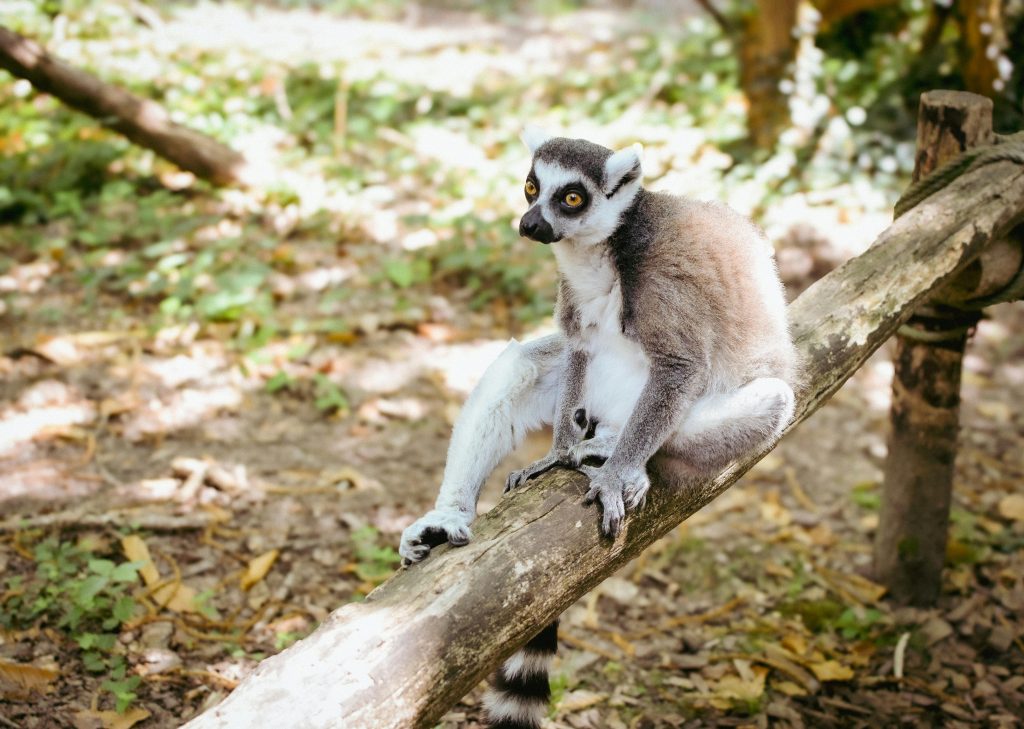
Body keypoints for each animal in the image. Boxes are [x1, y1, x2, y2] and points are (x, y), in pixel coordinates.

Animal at [398, 128, 798, 728]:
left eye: (571, 198)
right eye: (532, 186)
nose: (529, 223)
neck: (598, 254)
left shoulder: (664, 283)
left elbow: (680, 367)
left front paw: (612, 477)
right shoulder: (575, 305)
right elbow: (577, 346)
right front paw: (558, 453)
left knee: (766, 400)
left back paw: (617, 453)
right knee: (524, 364)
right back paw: (448, 518)